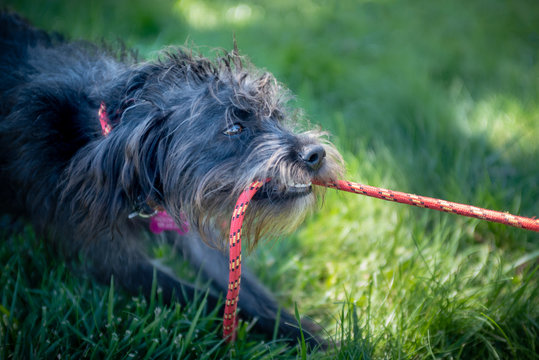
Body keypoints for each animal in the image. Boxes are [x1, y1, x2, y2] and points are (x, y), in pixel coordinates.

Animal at [0, 11, 346, 346]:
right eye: (233, 128)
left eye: (275, 116)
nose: (315, 154)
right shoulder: (107, 258)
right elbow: (205, 298)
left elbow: (246, 289)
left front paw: (300, 330)